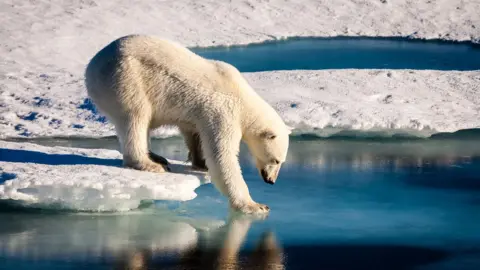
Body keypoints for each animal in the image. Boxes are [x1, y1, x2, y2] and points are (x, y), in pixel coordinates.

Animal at [84, 34, 290, 214]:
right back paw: (149, 164)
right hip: (125, 79)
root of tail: (91, 67)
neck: (243, 98)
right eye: (276, 160)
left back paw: (157, 157)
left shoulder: (199, 114)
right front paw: (255, 205)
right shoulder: (224, 112)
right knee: (135, 117)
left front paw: (201, 162)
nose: (271, 180)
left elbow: (194, 133)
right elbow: (222, 157)